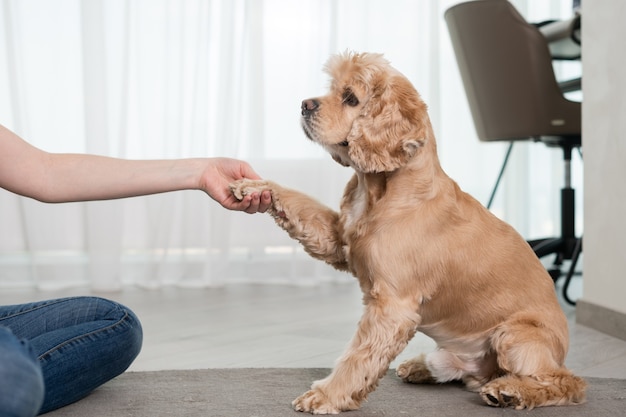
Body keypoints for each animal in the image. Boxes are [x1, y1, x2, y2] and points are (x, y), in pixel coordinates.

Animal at [230, 52, 584, 412]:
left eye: (350, 98)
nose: (304, 105)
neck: (380, 191)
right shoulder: (338, 242)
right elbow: (300, 202)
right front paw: (253, 185)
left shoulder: (393, 305)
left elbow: (357, 357)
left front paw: (326, 395)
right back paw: (422, 366)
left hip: (515, 335)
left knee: (566, 382)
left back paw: (510, 390)